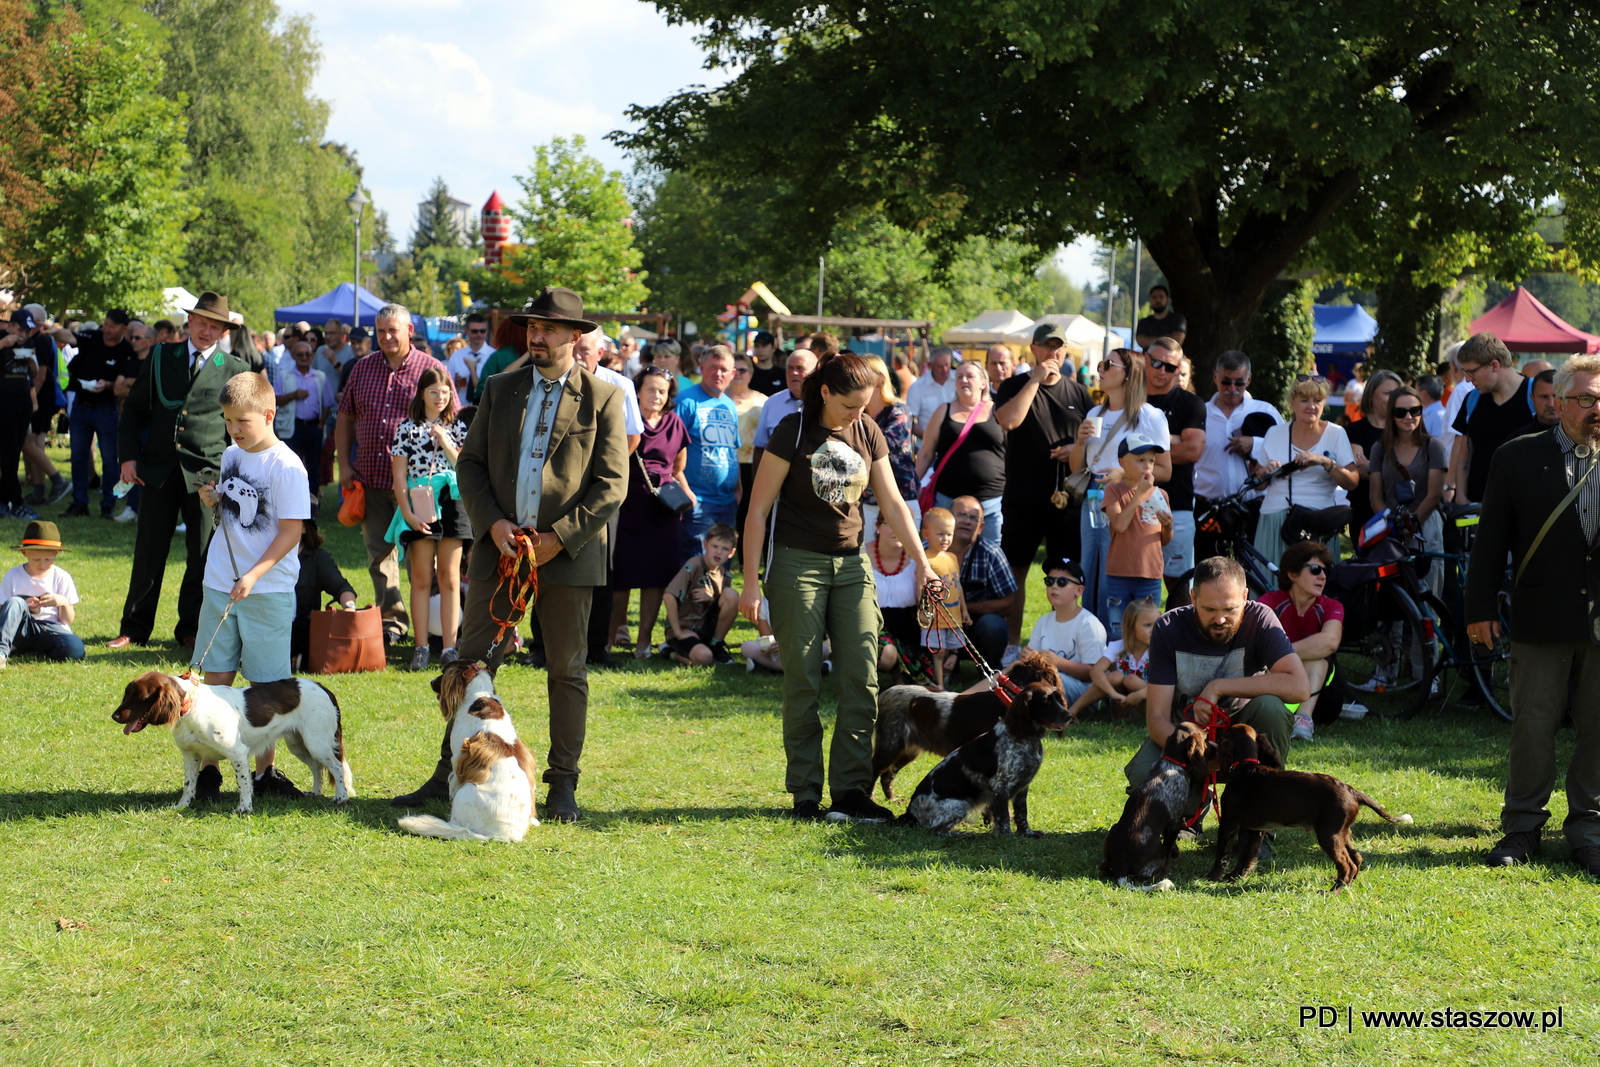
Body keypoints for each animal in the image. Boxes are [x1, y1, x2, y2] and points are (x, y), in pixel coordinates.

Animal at [114, 675, 358, 819]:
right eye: (126, 694)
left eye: (140, 697)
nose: (114, 716)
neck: (192, 706)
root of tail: (323, 687)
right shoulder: (190, 756)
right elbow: (188, 785)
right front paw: (182, 806)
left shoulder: (238, 753)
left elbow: (244, 785)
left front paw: (244, 809)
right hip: (298, 743)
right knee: (317, 767)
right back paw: (315, 792)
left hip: (317, 742)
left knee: (336, 767)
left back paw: (341, 797)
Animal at [395, 659, 534, 844]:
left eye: (443, 671)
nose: (431, 681)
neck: (479, 697)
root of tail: (500, 835)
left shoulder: (457, 760)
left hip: (465, 793)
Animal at [1203, 726, 1420, 895]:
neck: (1245, 767)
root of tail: (1352, 791)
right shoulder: (1256, 829)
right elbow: (1247, 855)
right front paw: (1236, 876)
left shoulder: (1229, 821)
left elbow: (1222, 853)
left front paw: (1211, 876)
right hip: (1343, 831)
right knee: (1357, 858)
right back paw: (1346, 885)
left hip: (1328, 834)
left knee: (1347, 864)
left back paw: (1333, 891)